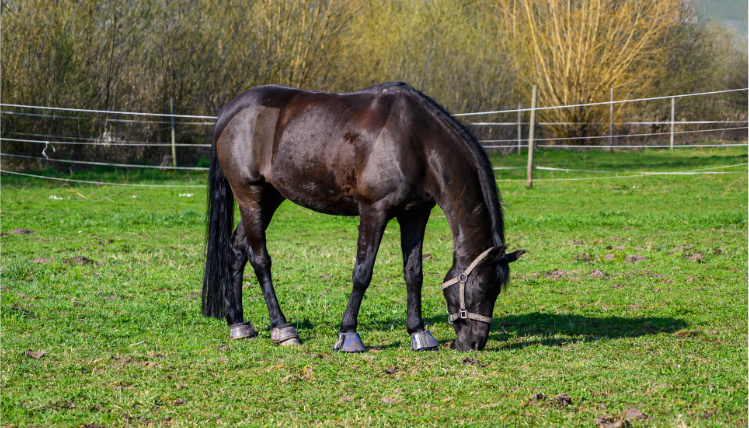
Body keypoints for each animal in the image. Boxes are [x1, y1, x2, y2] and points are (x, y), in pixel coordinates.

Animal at [202, 81, 524, 352]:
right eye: (482, 288)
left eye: (497, 291)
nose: (474, 343)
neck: (416, 142)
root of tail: (229, 111)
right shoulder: (374, 211)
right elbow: (362, 273)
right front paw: (348, 334)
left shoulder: (415, 214)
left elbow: (414, 273)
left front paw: (418, 332)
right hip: (250, 194)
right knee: (260, 259)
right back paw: (282, 328)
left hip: (269, 197)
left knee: (236, 249)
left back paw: (239, 323)